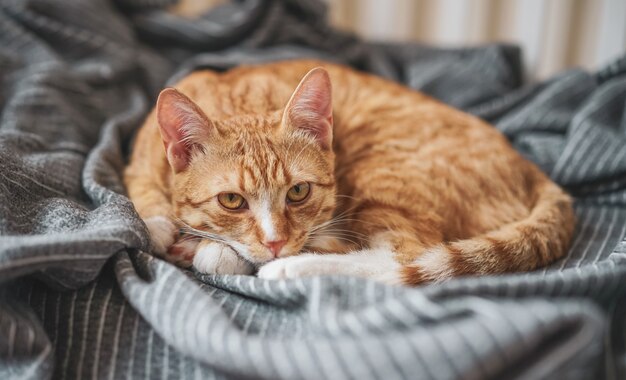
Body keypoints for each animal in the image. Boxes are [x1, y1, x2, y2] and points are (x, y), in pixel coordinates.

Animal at [123, 60, 576, 284]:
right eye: (232, 200)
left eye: (299, 192)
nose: (276, 243)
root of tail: (531, 168)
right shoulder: (141, 154)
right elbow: (147, 195)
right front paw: (161, 226)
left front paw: (212, 251)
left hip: (385, 170)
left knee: (406, 256)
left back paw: (291, 269)